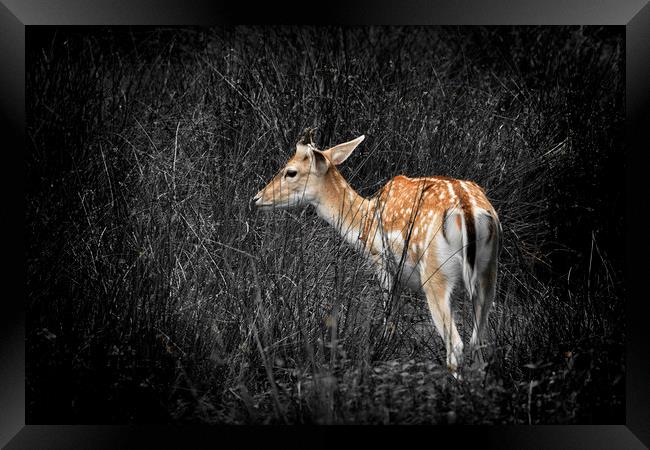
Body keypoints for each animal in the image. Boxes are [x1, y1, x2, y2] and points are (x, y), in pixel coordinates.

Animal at [251, 129, 498, 372]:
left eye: (291, 171)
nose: (257, 198)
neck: (365, 220)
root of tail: (469, 214)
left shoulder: (382, 261)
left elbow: (390, 315)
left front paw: (384, 345)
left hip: (436, 273)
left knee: (456, 344)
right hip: (487, 273)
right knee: (478, 342)